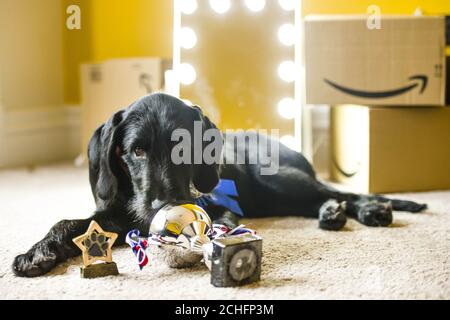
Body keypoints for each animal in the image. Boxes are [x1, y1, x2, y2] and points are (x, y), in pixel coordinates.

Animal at [10, 93, 426, 278]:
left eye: (184, 149)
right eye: (136, 150)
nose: (163, 206)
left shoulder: (220, 209)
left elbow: (217, 229)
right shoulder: (114, 214)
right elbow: (68, 223)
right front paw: (37, 252)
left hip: (278, 181)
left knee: (335, 191)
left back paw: (368, 209)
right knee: (318, 200)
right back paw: (332, 215)